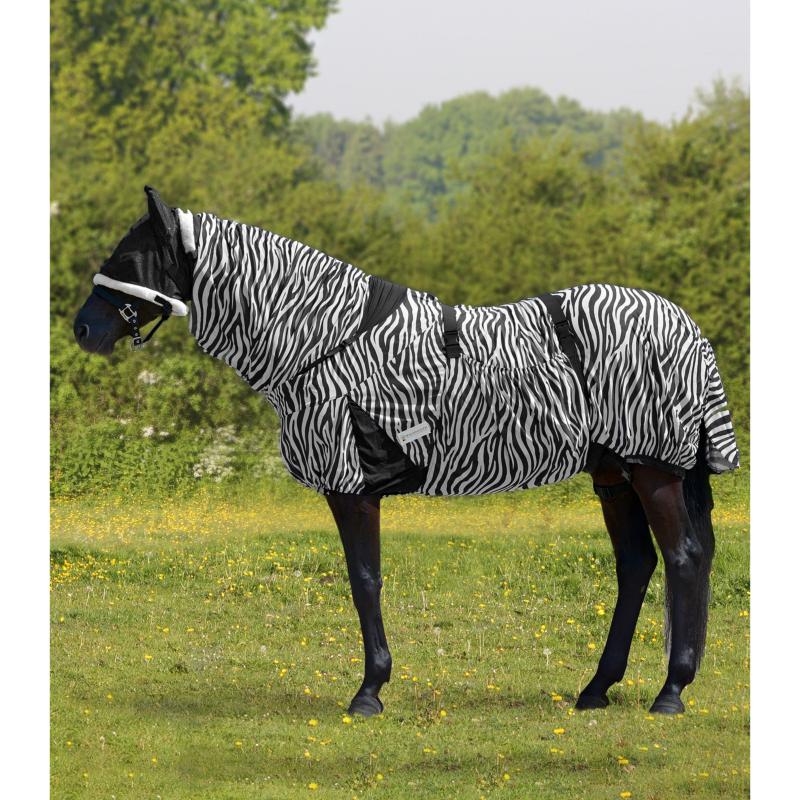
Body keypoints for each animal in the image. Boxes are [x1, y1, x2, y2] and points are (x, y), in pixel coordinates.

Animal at [73, 186, 739, 718]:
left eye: (129, 259)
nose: (83, 329)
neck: (322, 340)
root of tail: (686, 327)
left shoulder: (351, 487)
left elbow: (364, 580)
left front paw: (369, 691)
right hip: (614, 474)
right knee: (637, 565)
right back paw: (597, 688)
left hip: (653, 471)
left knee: (682, 559)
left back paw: (670, 692)